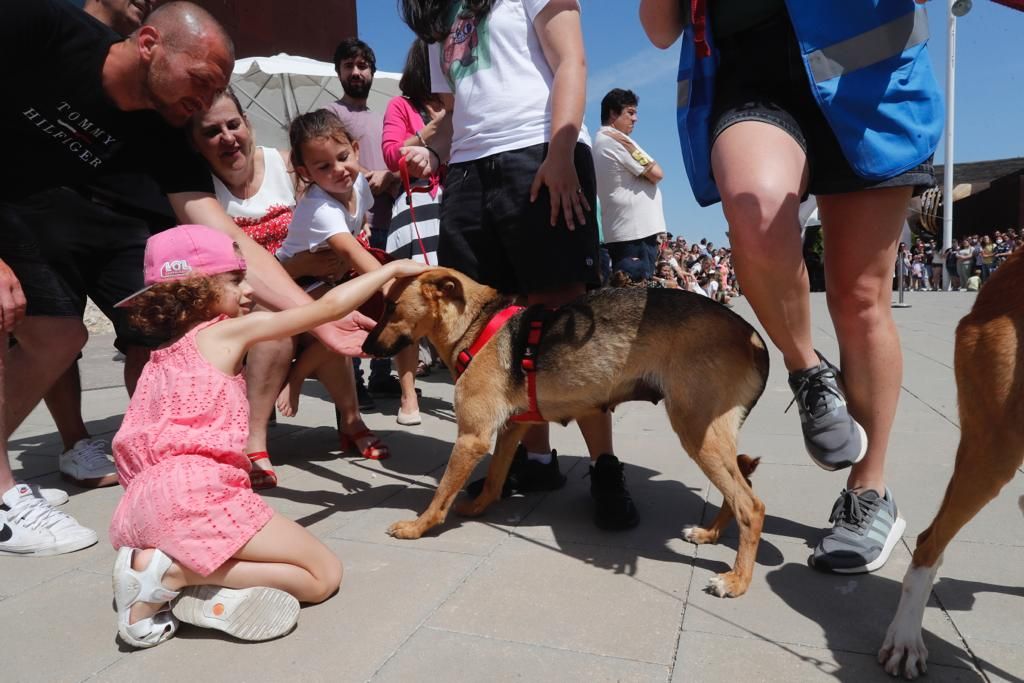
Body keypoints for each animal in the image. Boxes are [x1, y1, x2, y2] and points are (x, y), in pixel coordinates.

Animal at [364, 268, 770, 598]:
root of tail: (751, 335)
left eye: (391, 306)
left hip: (696, 429)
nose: (365, 348)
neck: (477, 324)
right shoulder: (512, 428)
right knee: (741, 488)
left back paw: (736, 581)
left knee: (751, 505)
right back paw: (709, 535)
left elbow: (440, 494)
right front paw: (479, 507)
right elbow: (495, 477)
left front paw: (416, 527)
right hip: (711, 433)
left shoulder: (471, 437)